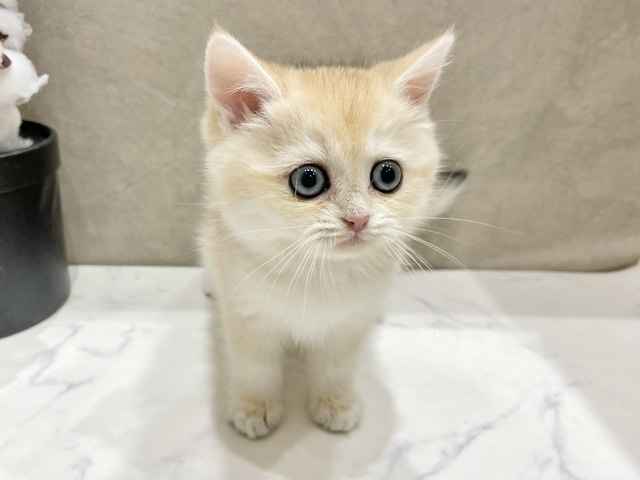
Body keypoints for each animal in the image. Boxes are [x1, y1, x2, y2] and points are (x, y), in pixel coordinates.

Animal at [198, 29, 464, 439]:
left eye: (388, 175)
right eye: (308, 180)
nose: (358, 219)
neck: (318, 274)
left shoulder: (347, 324)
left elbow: (336, 365)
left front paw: (335, 402)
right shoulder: (247, 312)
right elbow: (254, 364)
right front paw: (255, 406)